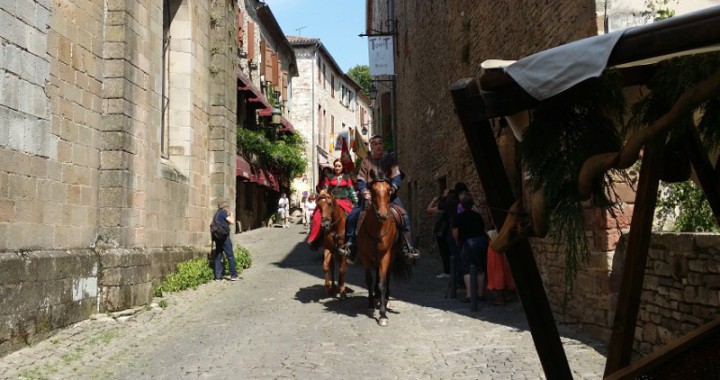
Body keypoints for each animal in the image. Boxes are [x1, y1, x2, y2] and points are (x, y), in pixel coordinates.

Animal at [354, 171, 410, 326]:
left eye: (389, 190)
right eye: (373, 191)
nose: (383, 215)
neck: (376, 230)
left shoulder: (385, 255)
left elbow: (382, 283)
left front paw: (383, 314)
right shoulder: (365, 256)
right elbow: (369, 280)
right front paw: (370, 306)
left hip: (391, 255)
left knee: (387, 277)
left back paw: (385, 298)